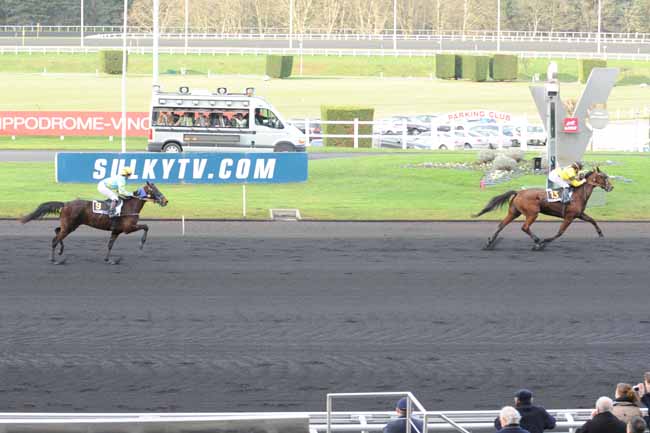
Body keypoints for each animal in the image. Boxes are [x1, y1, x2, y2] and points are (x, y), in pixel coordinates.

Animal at [20, 181, 167, 264]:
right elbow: (146, 226)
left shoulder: (116, 230)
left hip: (69, 225)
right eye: (154, 190)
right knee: (55, 239)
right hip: (70, 226)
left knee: (57, 231)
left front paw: (110, 260)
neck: (130, 206)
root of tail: (65, 203)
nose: (165, 201)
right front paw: (141, 244)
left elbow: (110, 245)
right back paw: (55, 260)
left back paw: (61, 251)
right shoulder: (128, 228)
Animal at [470, 168, 612, 250]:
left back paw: (489, 243)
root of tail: (518, 192)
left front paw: (600, 233)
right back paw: (538, 241)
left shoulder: (579, 214)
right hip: (532, 213)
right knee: (525, 227)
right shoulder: (569, 216)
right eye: (604, 176)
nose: (611, 187)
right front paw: (544, 241)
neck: (577, 194)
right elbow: (560, 232)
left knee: (501, 225)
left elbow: (592, 220)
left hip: (514, 212)